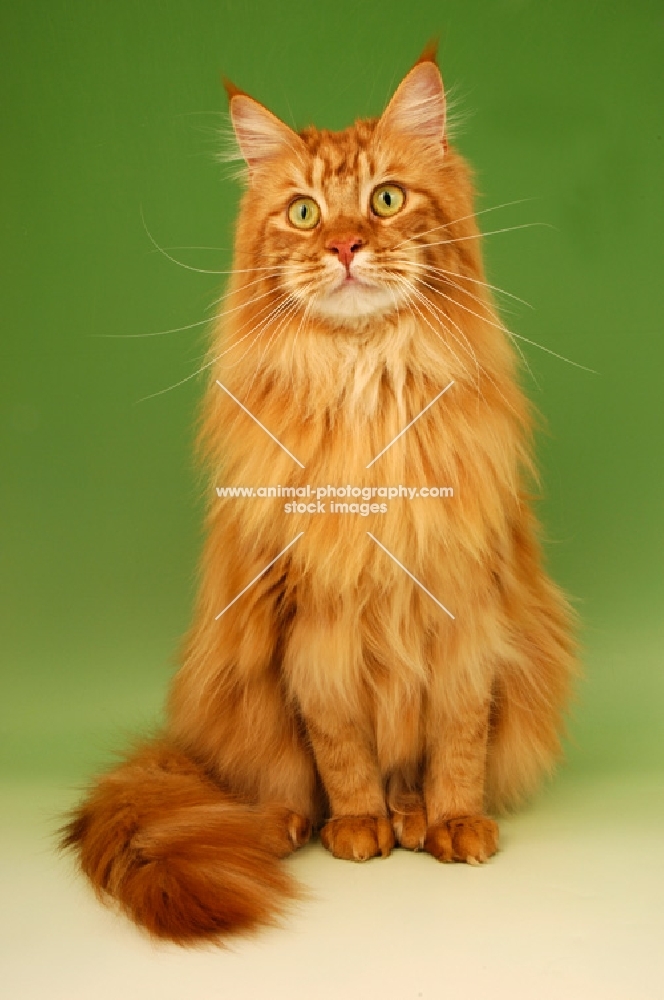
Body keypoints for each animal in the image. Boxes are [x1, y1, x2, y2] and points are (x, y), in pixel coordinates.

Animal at [65, 41, 580, 944]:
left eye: (385, 199)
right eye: (305, 214)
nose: (344, 245)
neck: (367, 384)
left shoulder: (463, 612)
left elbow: (457, 740)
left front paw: (454, 821)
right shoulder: (311, 626)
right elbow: (340, 749)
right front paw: (357, 825)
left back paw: (413, 816)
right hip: (240, 695)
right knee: (273, 783)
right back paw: (290, 824)